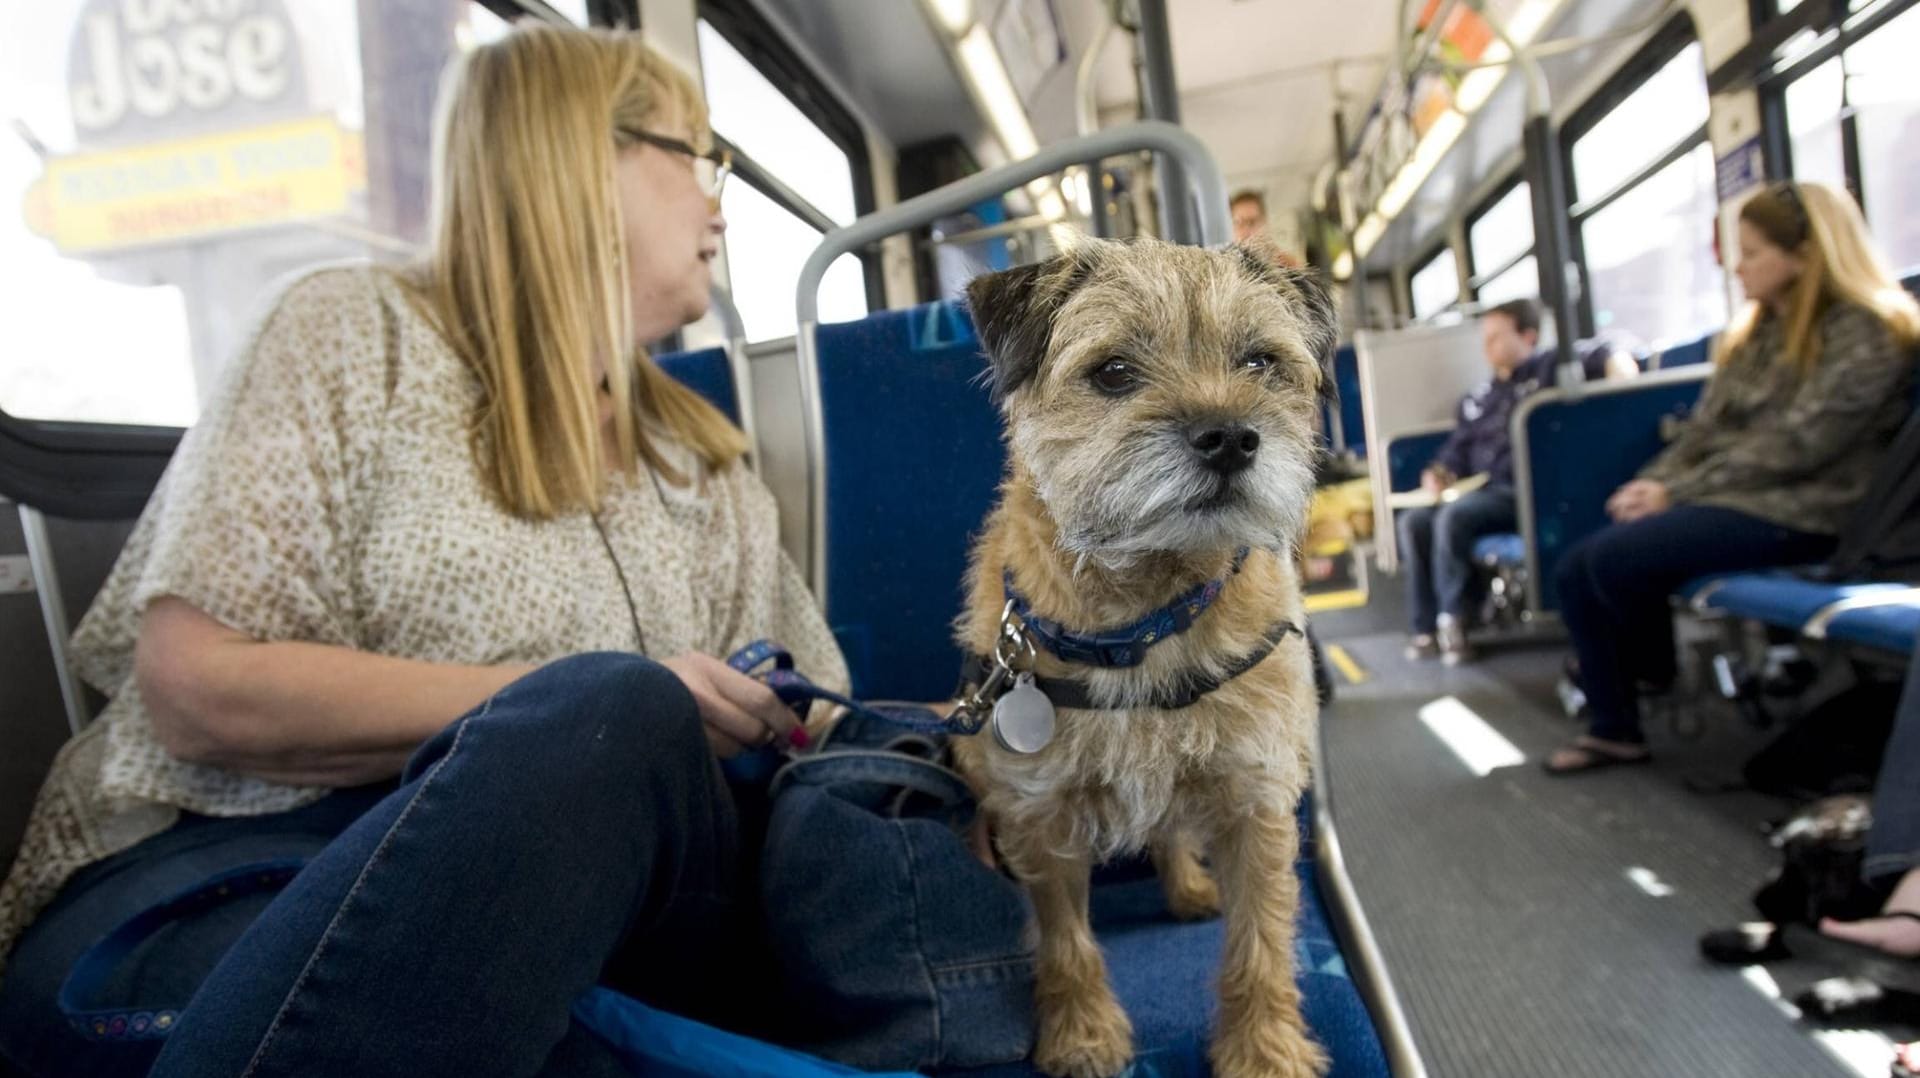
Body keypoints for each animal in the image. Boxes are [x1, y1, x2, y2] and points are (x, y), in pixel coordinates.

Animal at [948, 237, 1336, 1076]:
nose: (1231, 437)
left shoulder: (1257, 802)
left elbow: (1261, 944)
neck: (1151, 614)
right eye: (1115, 373)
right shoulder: (1038, 816)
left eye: (1260, 362)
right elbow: (1064, 943)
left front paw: (1264, 1052)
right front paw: (1082, 1034)